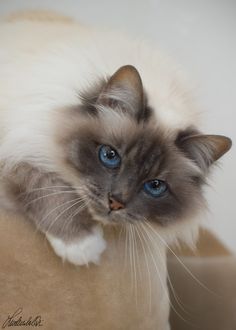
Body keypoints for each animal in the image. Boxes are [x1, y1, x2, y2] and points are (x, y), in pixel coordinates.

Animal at [0, 10, 231, 284]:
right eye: (110, 156)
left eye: (155, 186)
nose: (116, 202)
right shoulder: (18, 147)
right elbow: (48, 187)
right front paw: (82, 245)